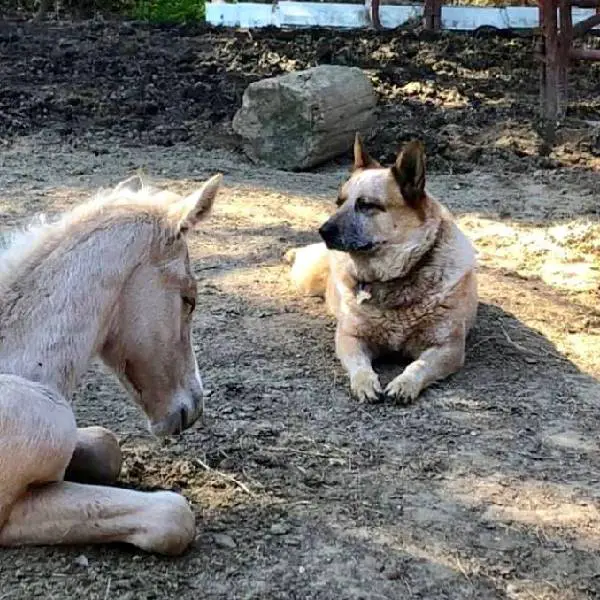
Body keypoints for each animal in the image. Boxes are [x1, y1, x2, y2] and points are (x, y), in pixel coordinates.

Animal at [286, 134, 478, 400]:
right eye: (339, 202)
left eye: (367, 205)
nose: (323, 231)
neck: (394, 279)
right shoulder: (350, 337)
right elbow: (359, 365)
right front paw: (364, 382)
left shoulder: (448, 347)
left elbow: (419, 365)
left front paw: (405, 383)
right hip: (307, 278)